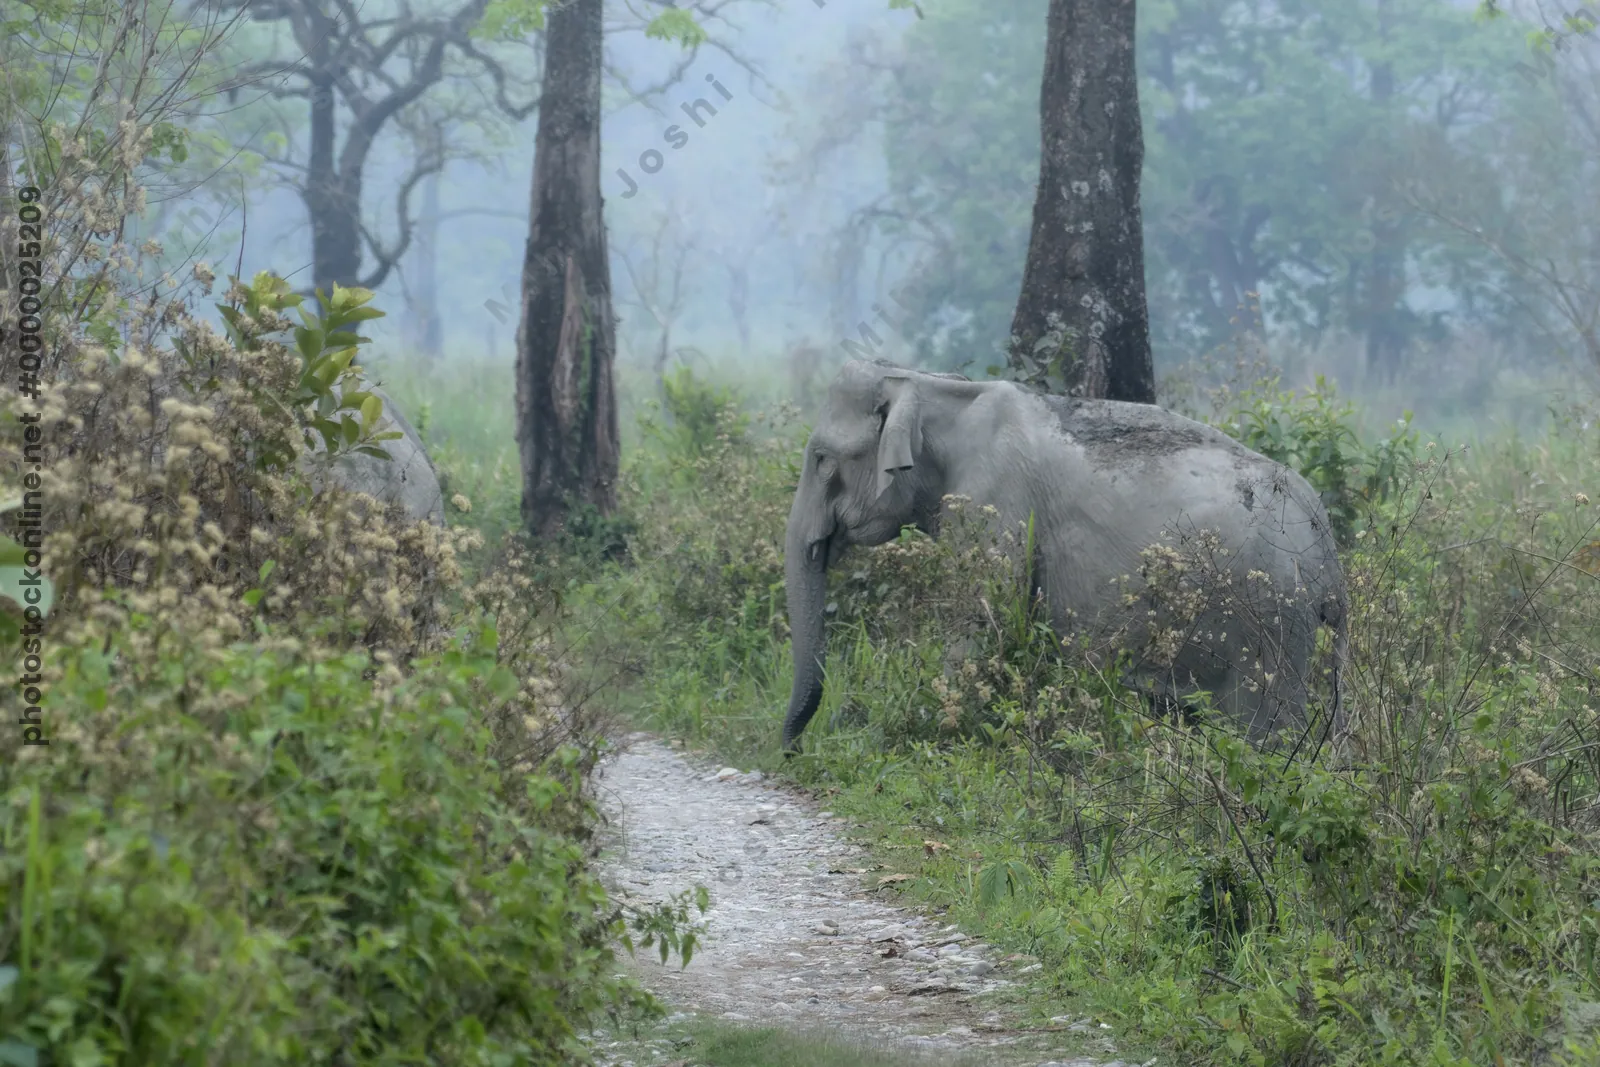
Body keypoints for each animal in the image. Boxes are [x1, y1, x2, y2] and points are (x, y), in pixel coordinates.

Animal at [782, 359, 1349, 753]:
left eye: (822, 459)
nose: (790, 751)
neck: (930, 383)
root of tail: (1326, 542)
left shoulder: (995, 498)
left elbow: (977, 632)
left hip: (1271, 629)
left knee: (1264, 733)